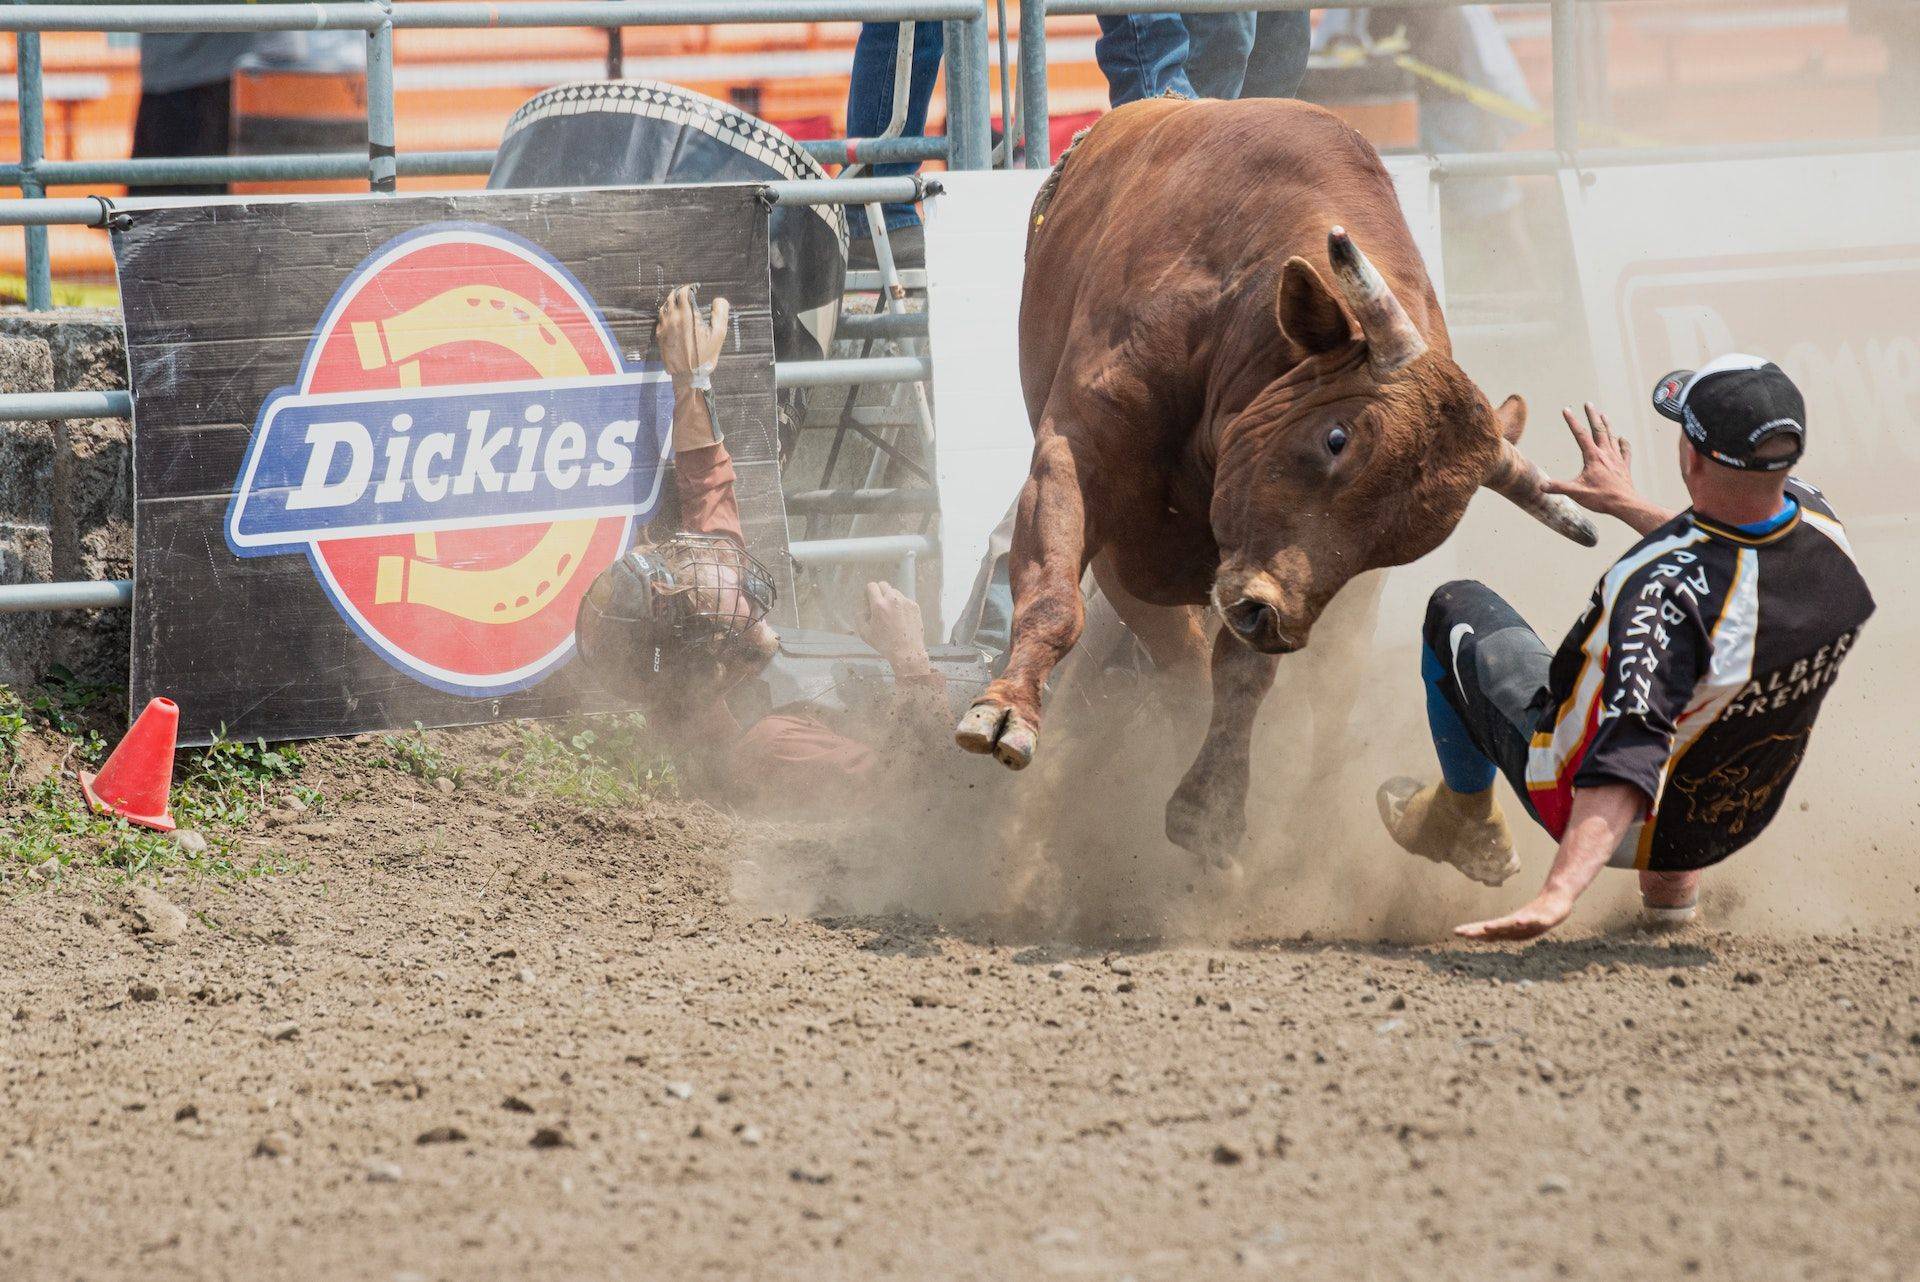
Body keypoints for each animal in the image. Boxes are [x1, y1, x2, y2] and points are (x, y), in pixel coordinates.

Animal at [952, 94, 1597, 867]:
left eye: (1402, 542)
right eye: (1336, 437)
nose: (1273, 618)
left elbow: (1240, 677)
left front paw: (1211, 806)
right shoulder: (1075, 453)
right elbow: (1055, 597)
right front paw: (1003, 711)